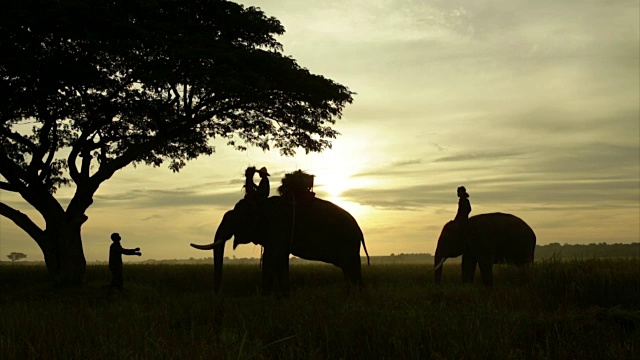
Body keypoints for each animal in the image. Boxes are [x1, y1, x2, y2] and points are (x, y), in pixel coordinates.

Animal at [190, 195, 370, 294]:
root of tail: (360, 230)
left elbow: (271, 257)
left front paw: (264, 297)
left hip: (348, 244)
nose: (217, 293)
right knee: (348, 270)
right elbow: (280, 259)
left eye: (235, 219)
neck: (261, 204)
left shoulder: (279, 226)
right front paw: (285, 296)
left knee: (352, 268)